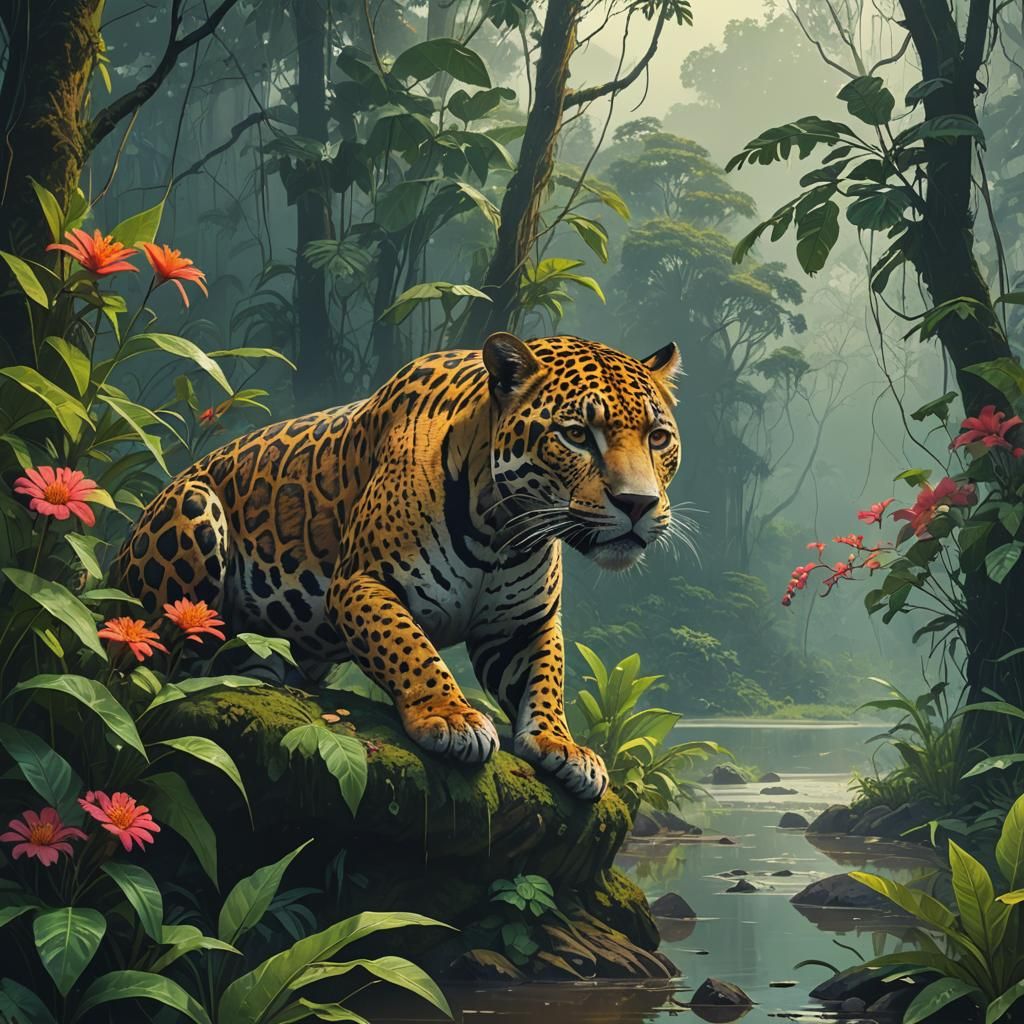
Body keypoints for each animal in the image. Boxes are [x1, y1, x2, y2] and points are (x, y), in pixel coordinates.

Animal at [114, 333, 683, 799]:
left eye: (657, 438)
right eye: (577, 435)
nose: (638, 503)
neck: (500, 529)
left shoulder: (522, 625)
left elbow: (546, 678)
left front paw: (561, 744)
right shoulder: (361, 583)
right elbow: (409, 647)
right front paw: (450, 716)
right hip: (192, 510)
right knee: (155, 664)